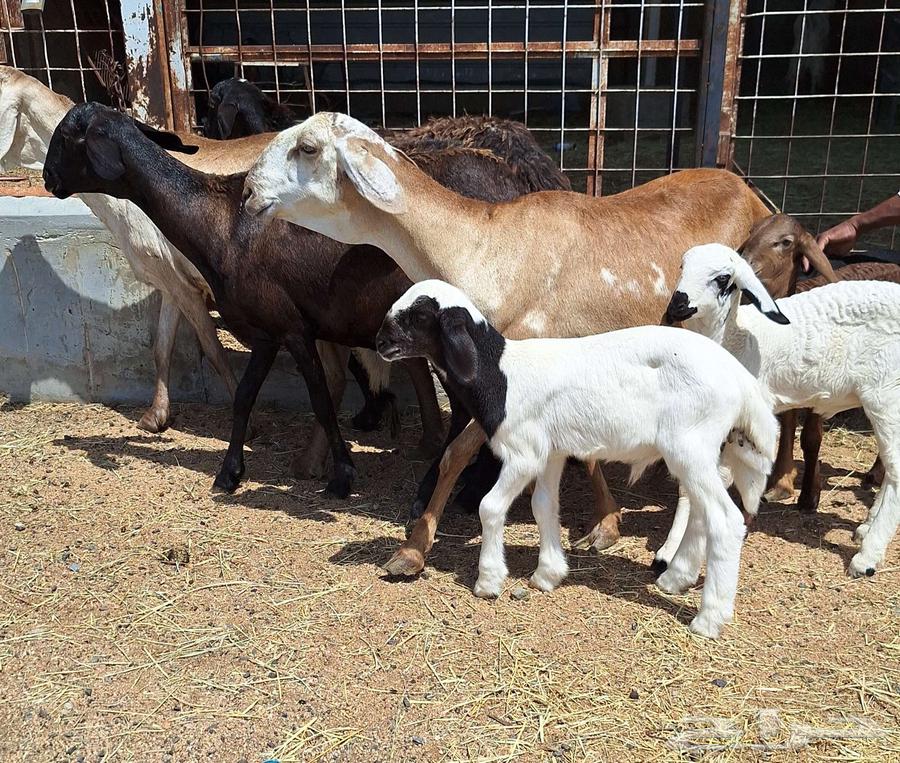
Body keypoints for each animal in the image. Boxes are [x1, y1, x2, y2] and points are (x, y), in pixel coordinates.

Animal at [43, 102, 570, 498]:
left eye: (67, 137)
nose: (48, 180)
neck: (219, 221)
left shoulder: (293, 328)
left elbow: (319, 398)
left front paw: (342, 475)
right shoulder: (267, 330)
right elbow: (244, 397)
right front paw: (229, 473)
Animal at [240, 111, 772, 574]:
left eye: (308, 147)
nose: (247, 191)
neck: (483, 249)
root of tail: (749, 192)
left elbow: (456, 454)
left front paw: (412, 549)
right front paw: (606, 523)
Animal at [376, 280, 779, 638]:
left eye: (420, 315)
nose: (380, 342)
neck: (503, 376)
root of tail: (742, 381)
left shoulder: (524, 453)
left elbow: (489, 506)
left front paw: (488, 581)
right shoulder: (550, 453)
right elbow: (543, 506)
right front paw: (548, 574)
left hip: (689, 445)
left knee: (724, 519)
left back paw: (708, 620)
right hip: (703, 452)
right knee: (700, 511)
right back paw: (675, 579)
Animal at [663, 244, 900, 578]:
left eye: (723, 278)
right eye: (682, 267)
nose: (677, 305)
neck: (736, 338)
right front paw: (669, 552)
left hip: (885, 393)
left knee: (896, 469)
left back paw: (866, 557)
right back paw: (866, 530)